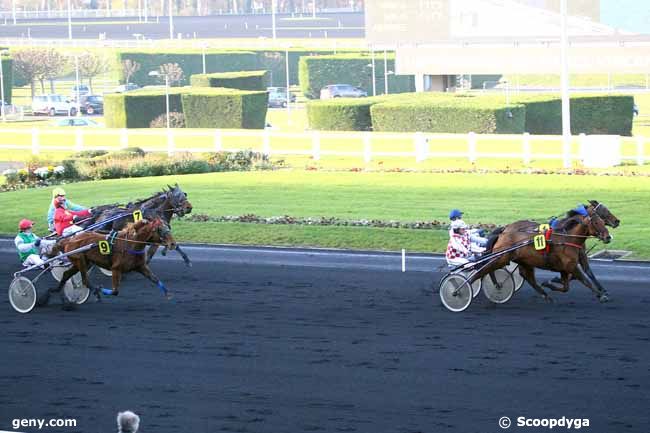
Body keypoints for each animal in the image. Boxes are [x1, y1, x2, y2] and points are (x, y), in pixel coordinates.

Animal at [476, 208, 608, 302]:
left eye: (603, 221)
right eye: (596, 222)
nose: (608, 237)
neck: (567, 238)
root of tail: (505, 229)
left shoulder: (565, 267)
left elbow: (567, 286)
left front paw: (548, 283)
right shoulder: (571, 266)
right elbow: (585, 280)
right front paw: (601, 295)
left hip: (524, 260)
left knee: (526, 276)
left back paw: (545, 294)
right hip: (502, 257)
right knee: (487, 269)